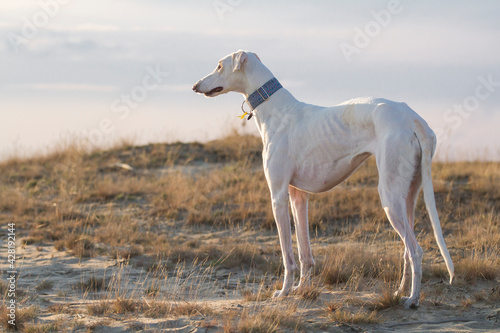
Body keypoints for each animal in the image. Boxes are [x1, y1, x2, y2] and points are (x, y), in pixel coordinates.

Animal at [193, 50, 456, 308]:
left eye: (219, 66)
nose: (195, 86)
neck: (275, 109)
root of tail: (414, 119)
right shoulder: (298, 196)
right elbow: (304, 252)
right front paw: (301, 289)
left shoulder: (277, 196)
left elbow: (288, 255)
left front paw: (284, 292)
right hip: (408, 194)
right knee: (407, 249)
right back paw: (399, 291)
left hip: (389, 196)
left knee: (416, 250)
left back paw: (413, 299)